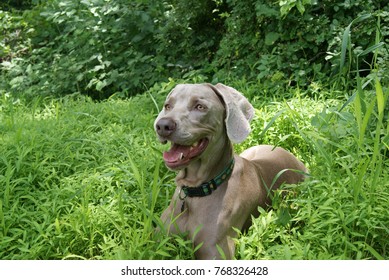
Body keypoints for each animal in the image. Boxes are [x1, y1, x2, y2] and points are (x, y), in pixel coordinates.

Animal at [153, 83, 304, 260]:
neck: (195, 192)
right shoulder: (157, 239)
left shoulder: (215, 251)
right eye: (167, 106)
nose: (162, 125)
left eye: (200, 106)